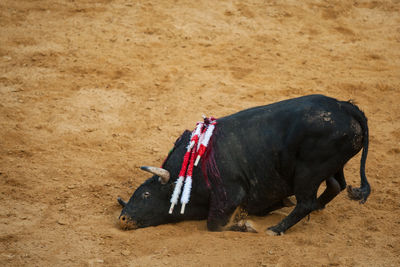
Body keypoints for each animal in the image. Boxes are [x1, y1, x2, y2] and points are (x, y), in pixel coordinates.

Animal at [117, 95, 370, 236]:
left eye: (146, 195)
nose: (122, 219)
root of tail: (344, 106)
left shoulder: (229, 194)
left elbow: (214, 225)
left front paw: (246, 226)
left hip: (308, 172)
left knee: (306, 202)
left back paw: (276, 229)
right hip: (331, 165)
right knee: (336, 185)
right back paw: (315, 207)